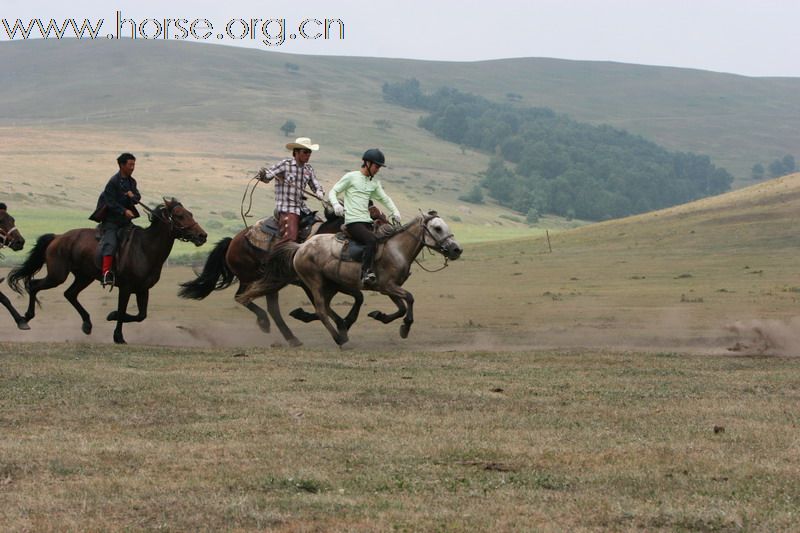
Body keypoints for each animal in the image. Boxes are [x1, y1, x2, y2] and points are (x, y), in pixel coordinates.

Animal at [8, 197, 208, 342]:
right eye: (180, 216)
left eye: (190, 213)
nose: (202, 235)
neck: (145, 247)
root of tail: (58, 237)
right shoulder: (126, 288)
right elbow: (122, 309)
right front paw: (118, 336)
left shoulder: (143, 289)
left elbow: (140, 315)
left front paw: (111, 316)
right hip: (57, 275)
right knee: (34, 285)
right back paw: (26, 318)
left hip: (84, 277)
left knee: (70, 294)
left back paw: (87, 324)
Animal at [178, 210, 362, 348]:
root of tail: (232, 242)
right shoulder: (308, 284)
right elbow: (324, 307)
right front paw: (341, 329)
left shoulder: (334, 284)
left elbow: (351, 299)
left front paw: (343, 325)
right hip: (249, 278)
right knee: (243, 298)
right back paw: (264, 322)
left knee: (271, 308)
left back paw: (290, 338)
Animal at [250, 212, 462, 344]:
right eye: (437, 228)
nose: (456, 249)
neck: (397, 249)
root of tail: (301, 247)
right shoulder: (388, 286)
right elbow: (409, 298)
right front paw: (406, 328)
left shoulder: (387, 288)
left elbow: (401, 307)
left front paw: (380, 316)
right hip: (314, 282)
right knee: (321, 309)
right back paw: (339, 338)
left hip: (330, 285)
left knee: (325, 307)